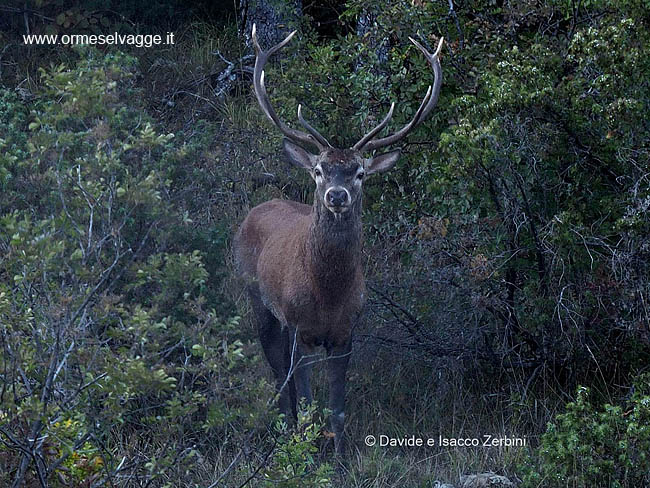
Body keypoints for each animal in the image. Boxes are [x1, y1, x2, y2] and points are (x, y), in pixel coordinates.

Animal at [232, 25, 440, 454]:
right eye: (318, 170)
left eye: (359, 172)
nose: (336, 195)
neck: (327, 294)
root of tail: (257, 208)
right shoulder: (300, 327)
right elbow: (309, 400)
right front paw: (307, 454)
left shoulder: (346, 332)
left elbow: (337, 409)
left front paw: (341, 458)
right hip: (256, 296)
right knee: (278, 374)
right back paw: (283, 430)